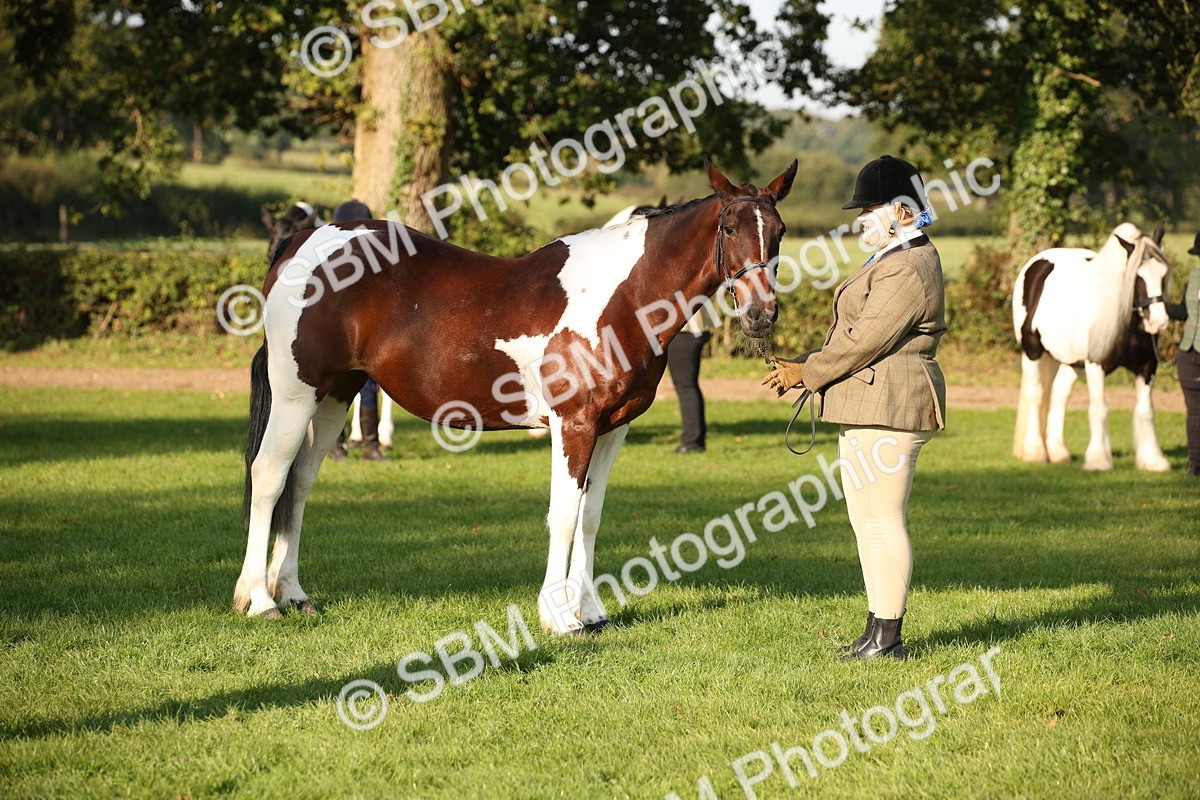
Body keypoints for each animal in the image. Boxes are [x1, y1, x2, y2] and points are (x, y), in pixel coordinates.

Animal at [236, 159, 797, 633]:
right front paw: (560, 617)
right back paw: (259, 600)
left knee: (299, 483)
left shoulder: (613, 428)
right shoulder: (574, 424)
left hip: (335, 394)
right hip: (295, 394)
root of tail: (301, 241)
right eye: (729, 228)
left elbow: (591, 517)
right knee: (269, 477)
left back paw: (292, 593)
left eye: (780, 232)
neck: (621, 297)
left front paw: (592, 611)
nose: (761, 315)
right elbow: (564, 515)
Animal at [1012, 222, 1172, 471]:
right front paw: (1098, 460)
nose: (1158, 322)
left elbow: (1146, 410)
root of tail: (1037, 263)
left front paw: (1153, 460)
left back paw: (1058, 452)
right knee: (1036, 394)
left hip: (1073, 362)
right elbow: (1099, 409)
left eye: (1163, 274)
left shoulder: (1147, 367)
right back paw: (1035, 451)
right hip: (1032, 352)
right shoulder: (1096, 364)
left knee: (1059, 393)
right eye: (1138, 276)